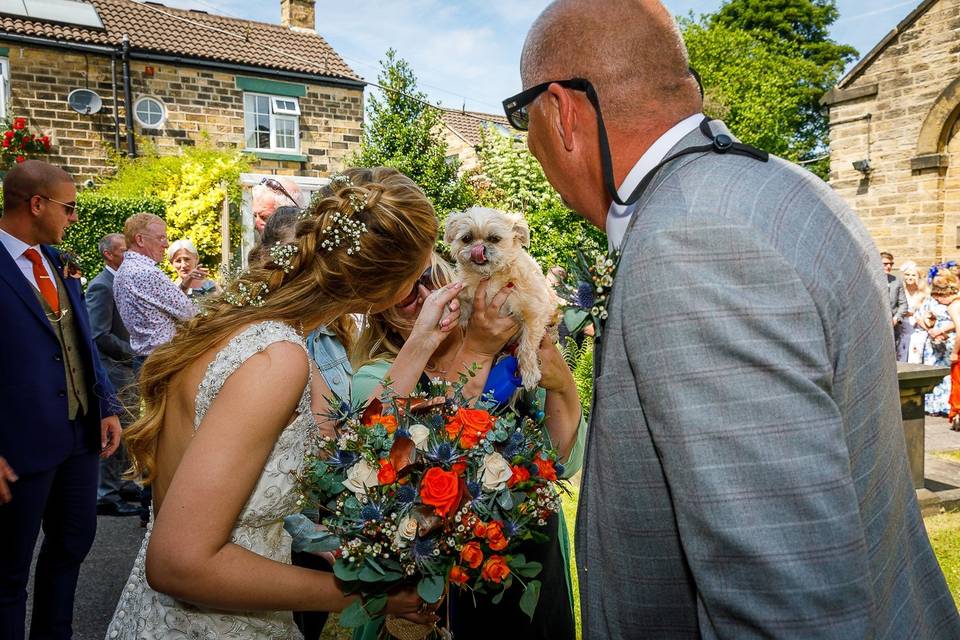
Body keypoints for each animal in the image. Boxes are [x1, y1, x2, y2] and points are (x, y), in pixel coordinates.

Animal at [444, 208, 560, 388]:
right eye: (467, 238)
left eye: (494, 239)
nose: (478, 248)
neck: (491, 276)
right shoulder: (465, 294)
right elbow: (462, 305)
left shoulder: (534, 313)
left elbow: (527, 346)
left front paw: (529, 373)